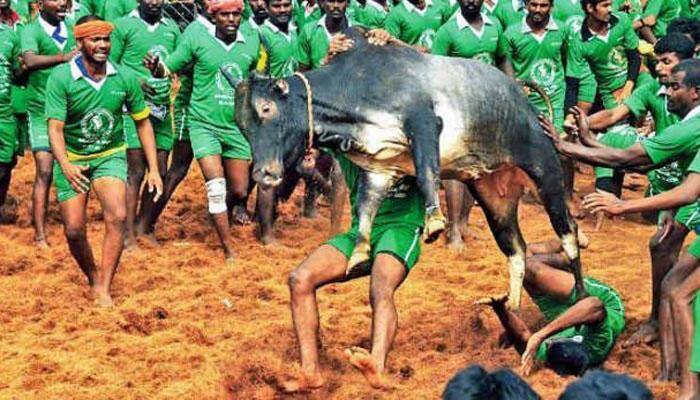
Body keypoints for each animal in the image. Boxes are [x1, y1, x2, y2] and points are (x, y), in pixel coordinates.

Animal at [232, 28, 584, 310]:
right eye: (241, 124)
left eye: (266, 108)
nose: (263, 174)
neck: (355, 88)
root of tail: (522, 98)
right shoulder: (379, 169)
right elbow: (366, 208)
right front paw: (359, 253)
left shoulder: (425, 122)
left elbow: (427, 170)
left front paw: (435, 222)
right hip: (495, 199)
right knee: (516, 249)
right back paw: (512, 304)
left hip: (545, 172)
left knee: (568, 232)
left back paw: (579, 297)